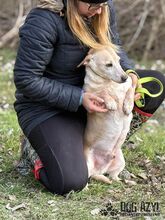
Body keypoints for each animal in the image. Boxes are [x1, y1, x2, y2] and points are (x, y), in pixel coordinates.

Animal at [82, 47, 135, 184]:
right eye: (108, 65)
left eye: (119, 61)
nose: (125, 77)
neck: (109, 83)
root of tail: (99, 170)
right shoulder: (90, 93)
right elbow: (102, 93)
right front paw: (111, 102)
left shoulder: (129, 85)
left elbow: (130, 91)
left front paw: (128, 105)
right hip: (86, 165)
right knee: (87, 179)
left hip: (120, 161)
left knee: (113, 176)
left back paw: (124, 181)